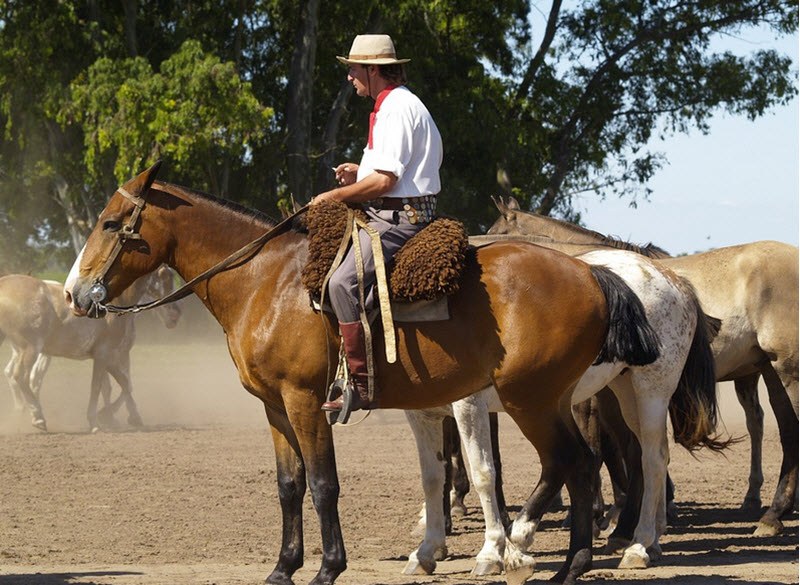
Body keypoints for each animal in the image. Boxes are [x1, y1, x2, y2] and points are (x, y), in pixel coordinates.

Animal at [1, 266, 180, 432]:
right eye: (164, 277)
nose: (176, 315)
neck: (115, 304)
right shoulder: (105, 354)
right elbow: (98, 386)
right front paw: (96, 421)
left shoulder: (110, 356)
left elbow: (123, 383)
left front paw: (127, 417)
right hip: (30, 348)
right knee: (20, 376)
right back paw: (37, 417)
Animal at [404, 245, 720, 580]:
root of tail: (673, 279)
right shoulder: (423, 414)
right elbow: (434, 477)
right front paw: (428, 549)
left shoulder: (470, 405)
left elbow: (484, 472)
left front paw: (491, 551)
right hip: (621, 391)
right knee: (643, 457)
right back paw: (647, 539)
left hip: (651, 389)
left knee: (652, 458)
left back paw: (638, 543)